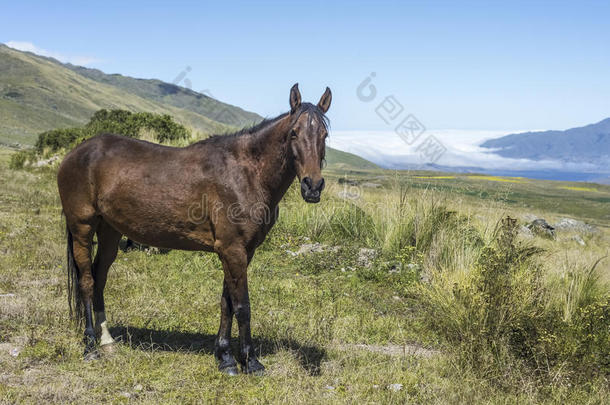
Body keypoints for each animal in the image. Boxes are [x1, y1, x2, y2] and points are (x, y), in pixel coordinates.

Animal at [56, 83, 330, 374]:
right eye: (294, 132)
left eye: (324, 134)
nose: (313, 186)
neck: (245, 174)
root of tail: (76, 153)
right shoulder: (233, 250)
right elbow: (242, 306)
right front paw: (250, 361)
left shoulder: (241, 251)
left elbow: (226, 303)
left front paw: (225, 357)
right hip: (82, 229)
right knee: (86, 281)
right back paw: (90, 346)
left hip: (109, 231)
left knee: (99, 278)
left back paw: (106, 341)